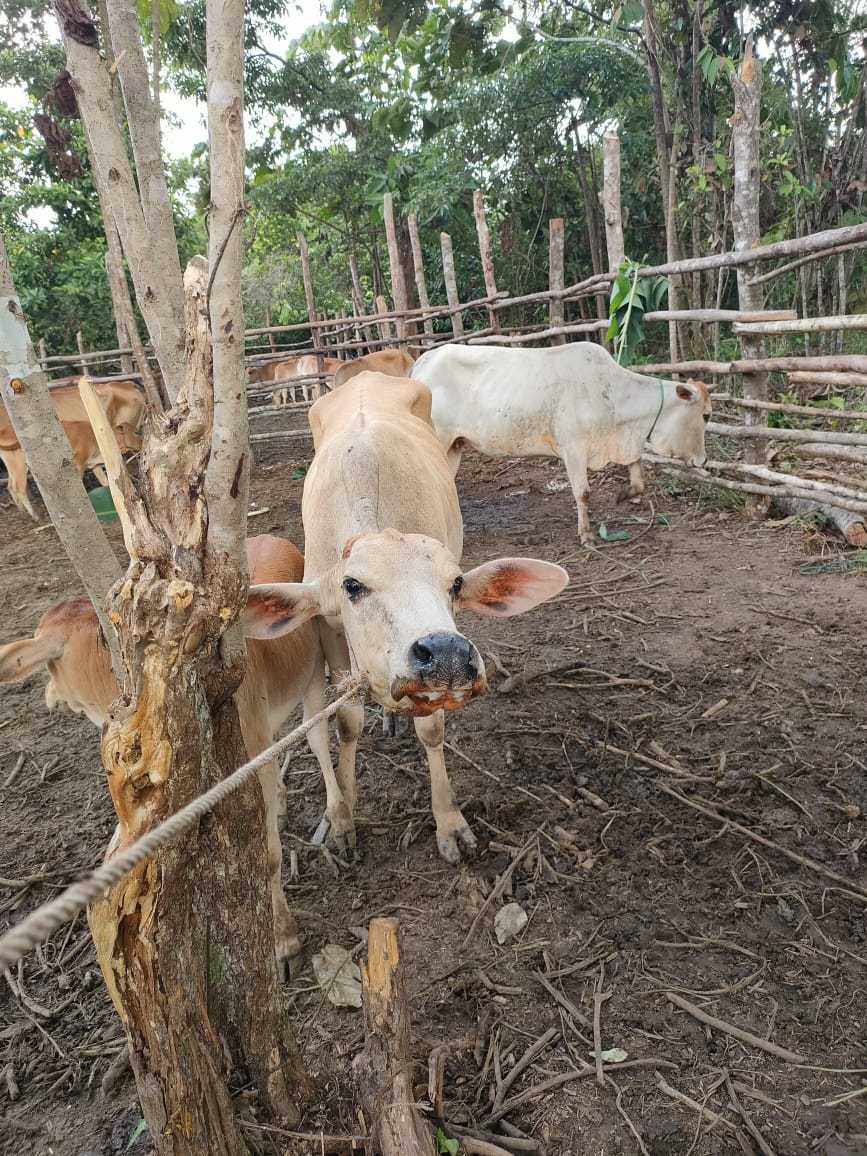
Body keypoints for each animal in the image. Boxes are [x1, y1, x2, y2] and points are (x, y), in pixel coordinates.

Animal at [0, 534, 335, 966]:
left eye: (49, 664)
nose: (49, 696)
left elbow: (271, 856)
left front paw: (284, 939)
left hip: (313, 675)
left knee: (319, 738)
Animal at [411, 339, 712, 543]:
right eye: (706, 416)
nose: (704, 460)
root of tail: (423, 360)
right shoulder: (574, 449)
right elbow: (583, 492)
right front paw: (587, 534)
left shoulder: (626, 446)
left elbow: (639, 482)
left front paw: (622, 495)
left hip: (453, 445)